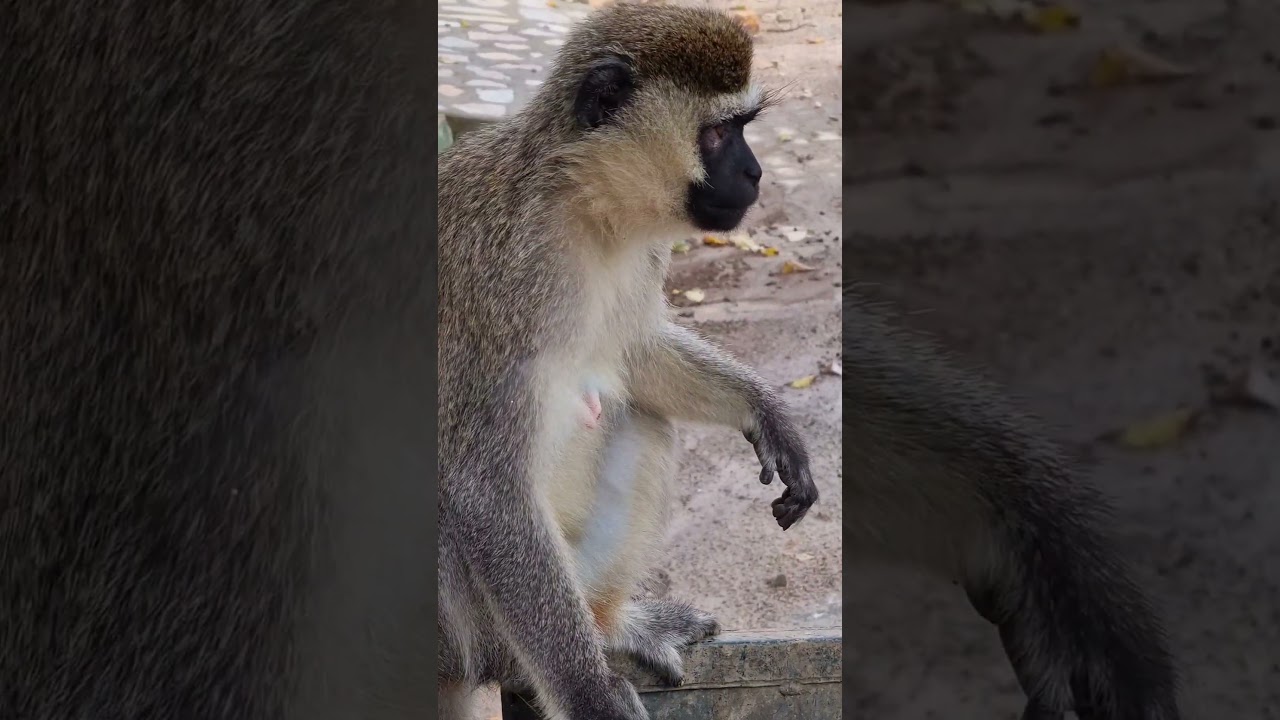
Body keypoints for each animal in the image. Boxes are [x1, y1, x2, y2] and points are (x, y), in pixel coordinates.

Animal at [437, 5, 818, 720]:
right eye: (718, 134)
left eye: (744, 129)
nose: (756, 174)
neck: (583, 205)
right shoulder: (505, 278)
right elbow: (484, 485)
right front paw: (590, 694)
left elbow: (636, 352)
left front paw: (767, 414)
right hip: (472, 632)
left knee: (642, 419)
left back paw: (611, 626)